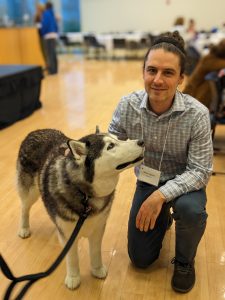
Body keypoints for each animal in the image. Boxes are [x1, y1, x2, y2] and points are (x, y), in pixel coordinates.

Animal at [17, 127, 144, 290]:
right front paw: (73, 277)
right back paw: (24, 228)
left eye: (119, 138)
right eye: (110, 146)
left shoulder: (98, 229)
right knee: (24, 208)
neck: (85, 195)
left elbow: (95, 251)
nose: (142, 141)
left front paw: (97, 269)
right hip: (30, 193)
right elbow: (72, 258)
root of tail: (36, 131)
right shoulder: (69, 235)